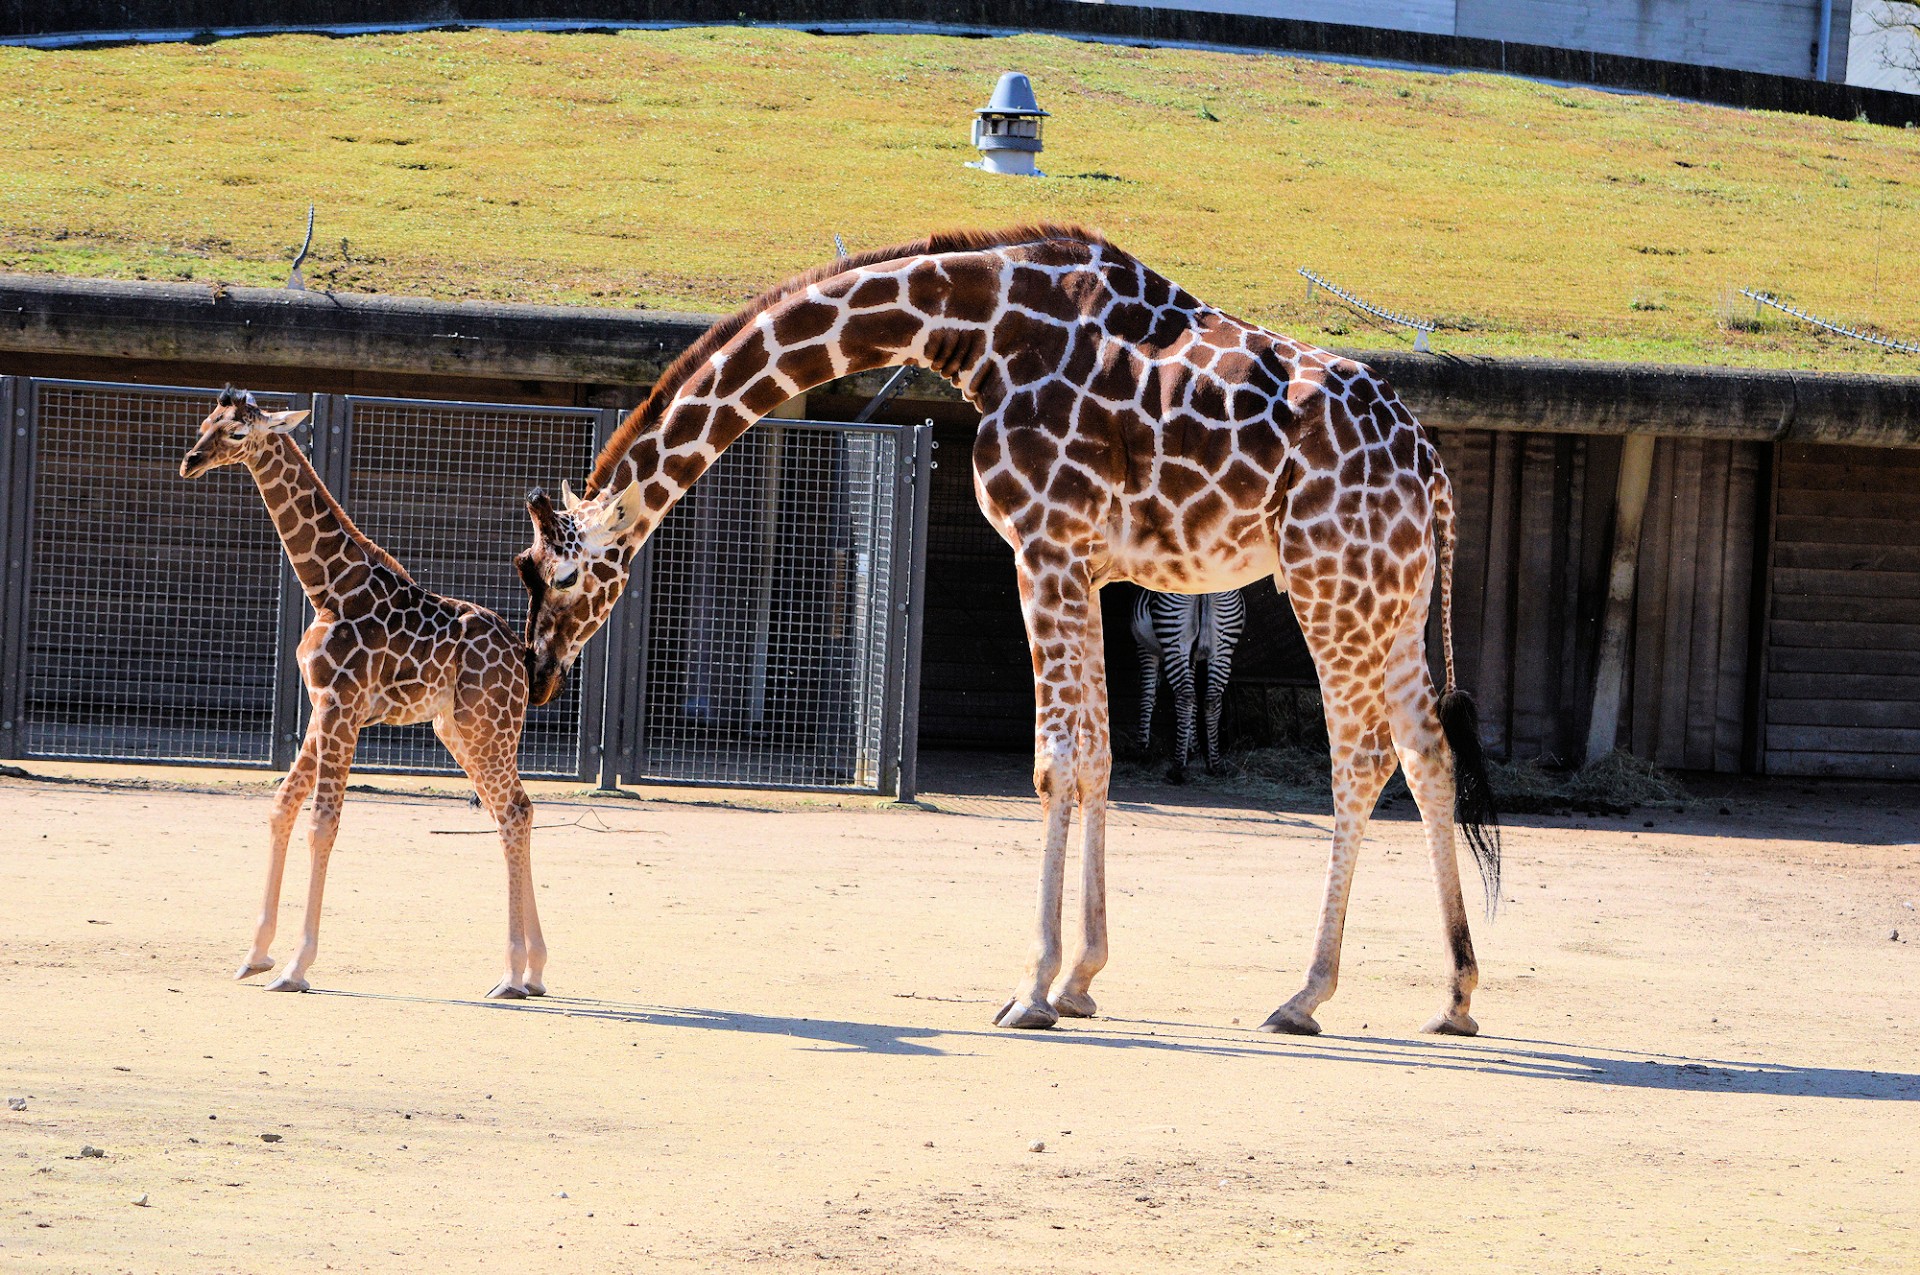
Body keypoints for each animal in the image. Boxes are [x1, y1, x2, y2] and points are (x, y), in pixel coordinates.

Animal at [181, 384, 549, 998]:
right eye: (205, 421)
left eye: (236, 432)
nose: (190, 461)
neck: (330, 587)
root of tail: (521, 655)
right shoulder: (320, 708)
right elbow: (282, 806)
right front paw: (255, 954)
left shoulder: (342, 708)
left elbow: (322, 823)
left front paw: (296, 967)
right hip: (459, 730)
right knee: (511, 810)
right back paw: (532, 972)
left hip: (487, 726)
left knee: (515, 810)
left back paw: (512, 975)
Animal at [1128, 591, 1251, 787]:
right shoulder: (1192, 656)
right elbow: (1193, 705)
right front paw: (1193, 748)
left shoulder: (1144, 648)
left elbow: (1147, 694)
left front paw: (1142, 748)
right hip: (1223, 646)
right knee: (1211, 699)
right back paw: (1214, 765)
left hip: (1175, 639)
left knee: (1185, 697)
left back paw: (1177, 768)